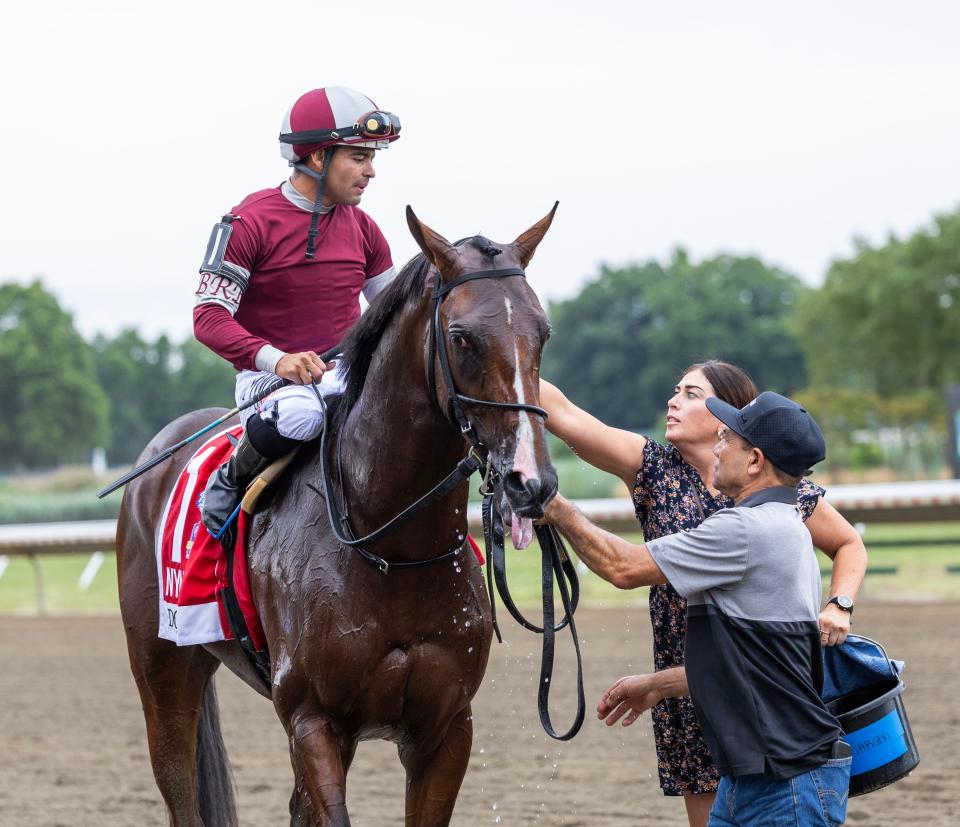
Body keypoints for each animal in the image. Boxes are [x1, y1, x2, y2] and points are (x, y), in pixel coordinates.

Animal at [115, 204, 560, 824]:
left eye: (543, 331)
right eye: (462, 338)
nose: (530, 481)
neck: (392, 548)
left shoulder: (447, 728)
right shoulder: (314, 720)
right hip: (162, 670)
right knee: (177, 781)